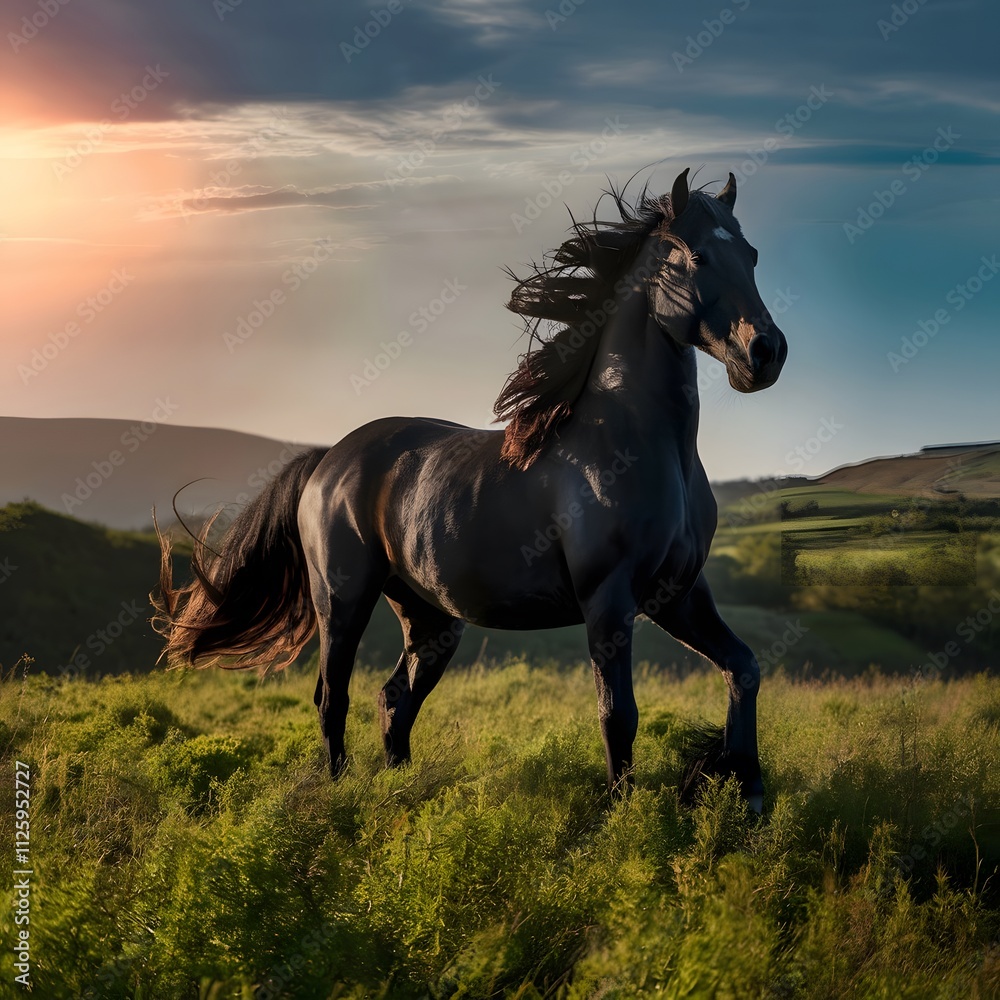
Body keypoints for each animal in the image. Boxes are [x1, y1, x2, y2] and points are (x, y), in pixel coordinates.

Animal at [153, 167, 787, 812]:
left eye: (753, 256)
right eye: (696, 255)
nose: (765, 353)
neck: (638, 446)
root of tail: (327, 459)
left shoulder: (678, 594)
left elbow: (744, 668)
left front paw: (749, 792)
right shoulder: (609, 599)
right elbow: (619, 714)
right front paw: (623, 815)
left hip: (429, 617)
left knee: (394, 699)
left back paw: (401, 796)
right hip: (343, 599)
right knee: (334, 697)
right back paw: (337, 794)